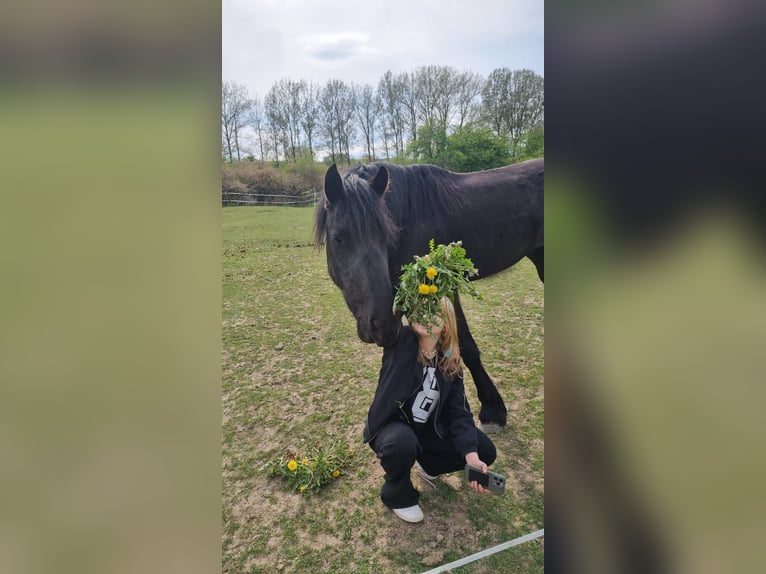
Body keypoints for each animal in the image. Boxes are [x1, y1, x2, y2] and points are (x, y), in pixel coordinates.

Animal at [314, 158, 543, 430]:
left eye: (386, 236)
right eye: (338, 238)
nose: (382, 326)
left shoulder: (444, 288)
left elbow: (464, 345)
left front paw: (492, 410)